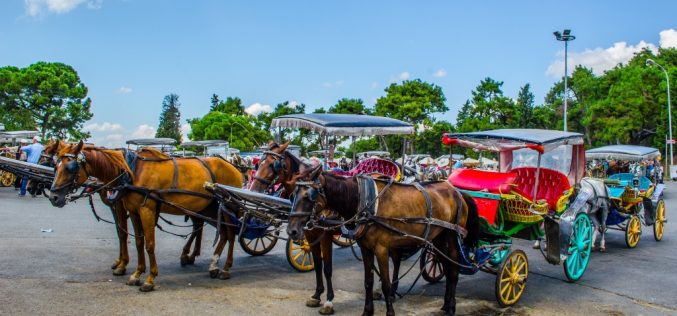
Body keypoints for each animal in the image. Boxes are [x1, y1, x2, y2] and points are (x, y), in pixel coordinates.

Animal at [50, 141, 246, 292]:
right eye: (56, 165)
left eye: (70, 167)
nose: (53, 197)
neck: (131, 172)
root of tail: (235, 168)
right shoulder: (133, 211)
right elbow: (137, 241)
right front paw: (136, 273)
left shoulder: (146, 210)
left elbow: (149, 243)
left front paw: (149, 279)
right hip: (209, 206)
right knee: (221, 232)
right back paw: (210, 264)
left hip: (228, 206)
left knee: (230, 233)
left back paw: (225, 268)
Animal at [288, 165, 478, 316]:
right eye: (293, 194)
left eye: (309, 196)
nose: (292, 230)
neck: (363, 200)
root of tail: (458, 192)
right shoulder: (365, 248)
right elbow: (368, 281)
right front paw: (367, 311)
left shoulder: (381, 249)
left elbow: (385, 283)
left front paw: (389, 311)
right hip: (438, 237)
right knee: (445, 265)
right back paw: (446, 305)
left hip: (451, 236)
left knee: (453, 269)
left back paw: (451, 307)